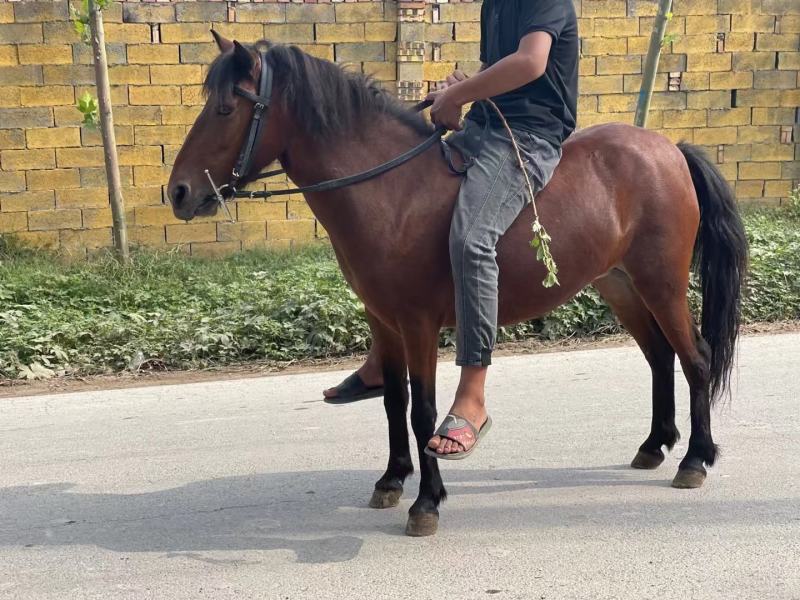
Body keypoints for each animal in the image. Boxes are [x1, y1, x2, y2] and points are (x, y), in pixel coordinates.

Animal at [167, 36, 748, 537]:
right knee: (659, 357)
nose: (178, 192)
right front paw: (392, 479)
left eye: (226, 109)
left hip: (661, 283)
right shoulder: (383, 319)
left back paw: (695, 458)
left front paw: (427, 501)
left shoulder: (418, 322)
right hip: (620, 285)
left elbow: (423, 410)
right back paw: (655, 445)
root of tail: (669, 149)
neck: (392, 189)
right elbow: (393, 403)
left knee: (694, 358)